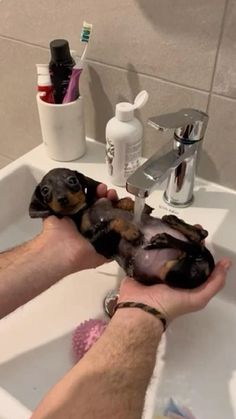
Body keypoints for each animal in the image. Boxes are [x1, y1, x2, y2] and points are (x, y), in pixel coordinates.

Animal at [28, 167, 215, 288]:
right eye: (45, 190)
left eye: (72, 180)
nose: (62, 199)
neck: (84, 210)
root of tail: (208, 266)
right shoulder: (96, 242)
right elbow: (113, 221)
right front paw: (131, 231)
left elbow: (121, 204)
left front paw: (135, 205)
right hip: (173, 273)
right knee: (196, 244)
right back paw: (165, 236)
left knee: (198, 238)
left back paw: (171, 226)